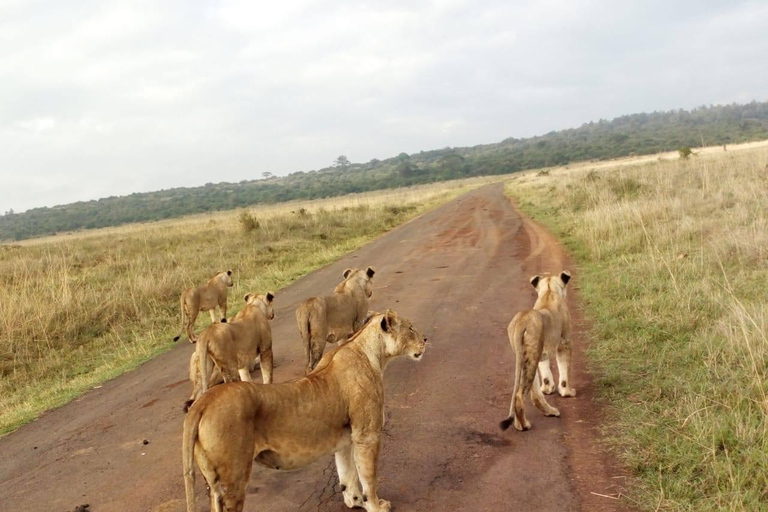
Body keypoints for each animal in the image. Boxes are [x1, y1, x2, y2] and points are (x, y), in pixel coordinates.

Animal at [184, 308, 428, 512]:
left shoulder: (345, 438)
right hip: (233, 479)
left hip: (213, 483)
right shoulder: (367, 435)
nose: (425, 339)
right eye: (410, 328)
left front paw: (355, 502)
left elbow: (347, 473)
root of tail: (202, 403)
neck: (366, 350)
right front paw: (377, 506)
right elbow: (368, 477)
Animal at [498, 270, 576, 430]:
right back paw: (524, 426)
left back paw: (546, 413)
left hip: (527, 355)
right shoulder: (564, 342)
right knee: (520, 395)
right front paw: (567, 392)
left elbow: (545, 372)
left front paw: (548, 388)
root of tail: (521, 320)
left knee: (533, 394)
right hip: (533, 354)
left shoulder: (542, 353)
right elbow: (565, 369)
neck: (549, 292)